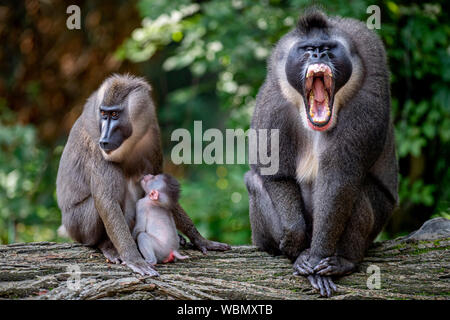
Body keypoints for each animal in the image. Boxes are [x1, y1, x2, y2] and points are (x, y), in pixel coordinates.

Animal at [56, 74, 230, 276]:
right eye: (104, 114)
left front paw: (201, 240)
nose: (105, 139)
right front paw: (134, 259)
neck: (131, 142)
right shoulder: (96, 147)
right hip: (77, 225)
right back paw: (107, 245)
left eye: (115, 115)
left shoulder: (152, 137)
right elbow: (106, 200)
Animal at [246, 8, 398, 296]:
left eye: (328, 49)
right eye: (307, 50)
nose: (319, 56)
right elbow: (275, 174)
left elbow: (338, 181)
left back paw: (343, 261)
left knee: (356, 191)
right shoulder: (272, 102)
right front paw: (295, 244)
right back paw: (299, 256)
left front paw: (317, 259)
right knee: (253, 181)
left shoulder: (366, 96)